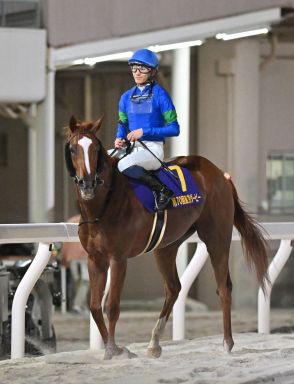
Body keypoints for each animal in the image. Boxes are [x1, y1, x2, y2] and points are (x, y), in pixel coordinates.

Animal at [65, 116, 268, 360]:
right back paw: (154, 343)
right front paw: (114, 348)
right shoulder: (95, 258)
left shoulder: (118, 258)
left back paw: (227, 343)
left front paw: (115, 348)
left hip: (216, 237)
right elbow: (95, 306)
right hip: (166, 246)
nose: (87, 183)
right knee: (173, 288)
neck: (103, 205)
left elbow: (112, 306)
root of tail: (220, 173)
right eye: (73, 148)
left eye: (95, 148)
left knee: (223, 287)